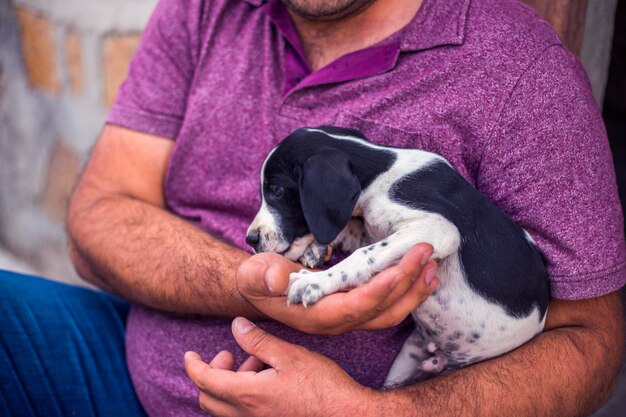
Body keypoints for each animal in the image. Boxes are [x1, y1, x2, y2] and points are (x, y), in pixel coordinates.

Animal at [246, 125, 548, 386]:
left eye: (276, 190)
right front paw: (318, 248)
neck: (378, 174)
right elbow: (353, 231)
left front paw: (316, 281)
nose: (250, 239)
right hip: (406, 360)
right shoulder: (375, 227)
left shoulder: (439, 228)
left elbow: (363, 254)